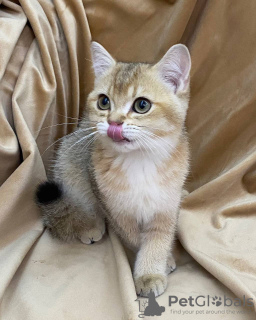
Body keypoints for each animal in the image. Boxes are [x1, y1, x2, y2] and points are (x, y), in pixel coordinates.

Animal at [37, 40, 191, 298]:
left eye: (142, 105)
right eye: (104, 102)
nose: (113, 122)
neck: (140, 162)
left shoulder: (165, 206)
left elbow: (158, 239)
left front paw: (153, 268)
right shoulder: (116, 209)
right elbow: (135, 239)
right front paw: (151, 271)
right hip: (70, 167)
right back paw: (89, 225)